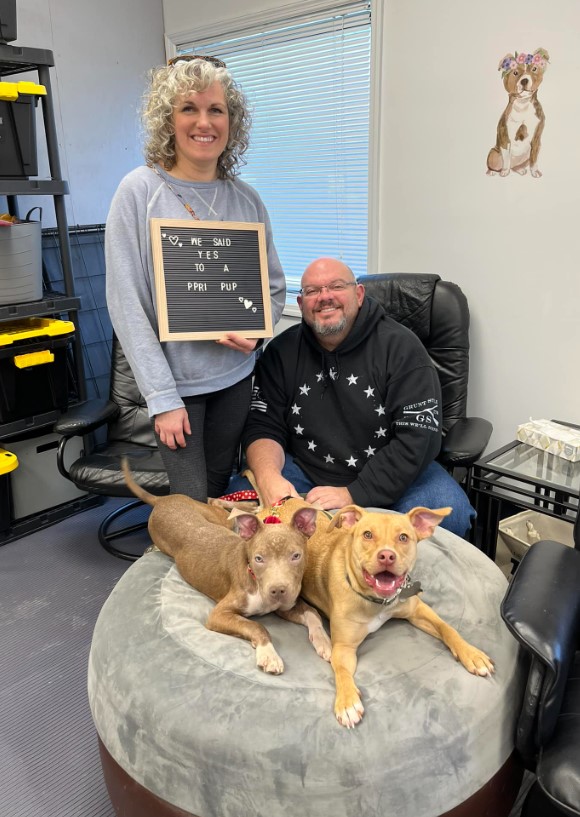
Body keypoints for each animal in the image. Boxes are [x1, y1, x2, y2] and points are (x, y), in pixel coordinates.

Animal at [122, 462, 330, 672]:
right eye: (258, 558)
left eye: (296, 556)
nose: (278, 590)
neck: (252, 576)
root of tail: (162, 500)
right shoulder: (219, 615)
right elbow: (256, 626)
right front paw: (269, 654)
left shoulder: (286, 606)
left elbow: (313, 614)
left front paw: (324, 641)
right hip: (220, 521)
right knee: (218, 504)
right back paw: (248, 507)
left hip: (216, 517)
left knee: (215, 501)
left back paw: (248, 506)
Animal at [254, 494, 494, 728]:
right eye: (367, 534)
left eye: (403, 537)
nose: (386, 556)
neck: (379, 601)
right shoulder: (343, 647)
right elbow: (342, 671)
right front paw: (347, 701)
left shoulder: (417, 610)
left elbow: (448, 628)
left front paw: (472, 654)